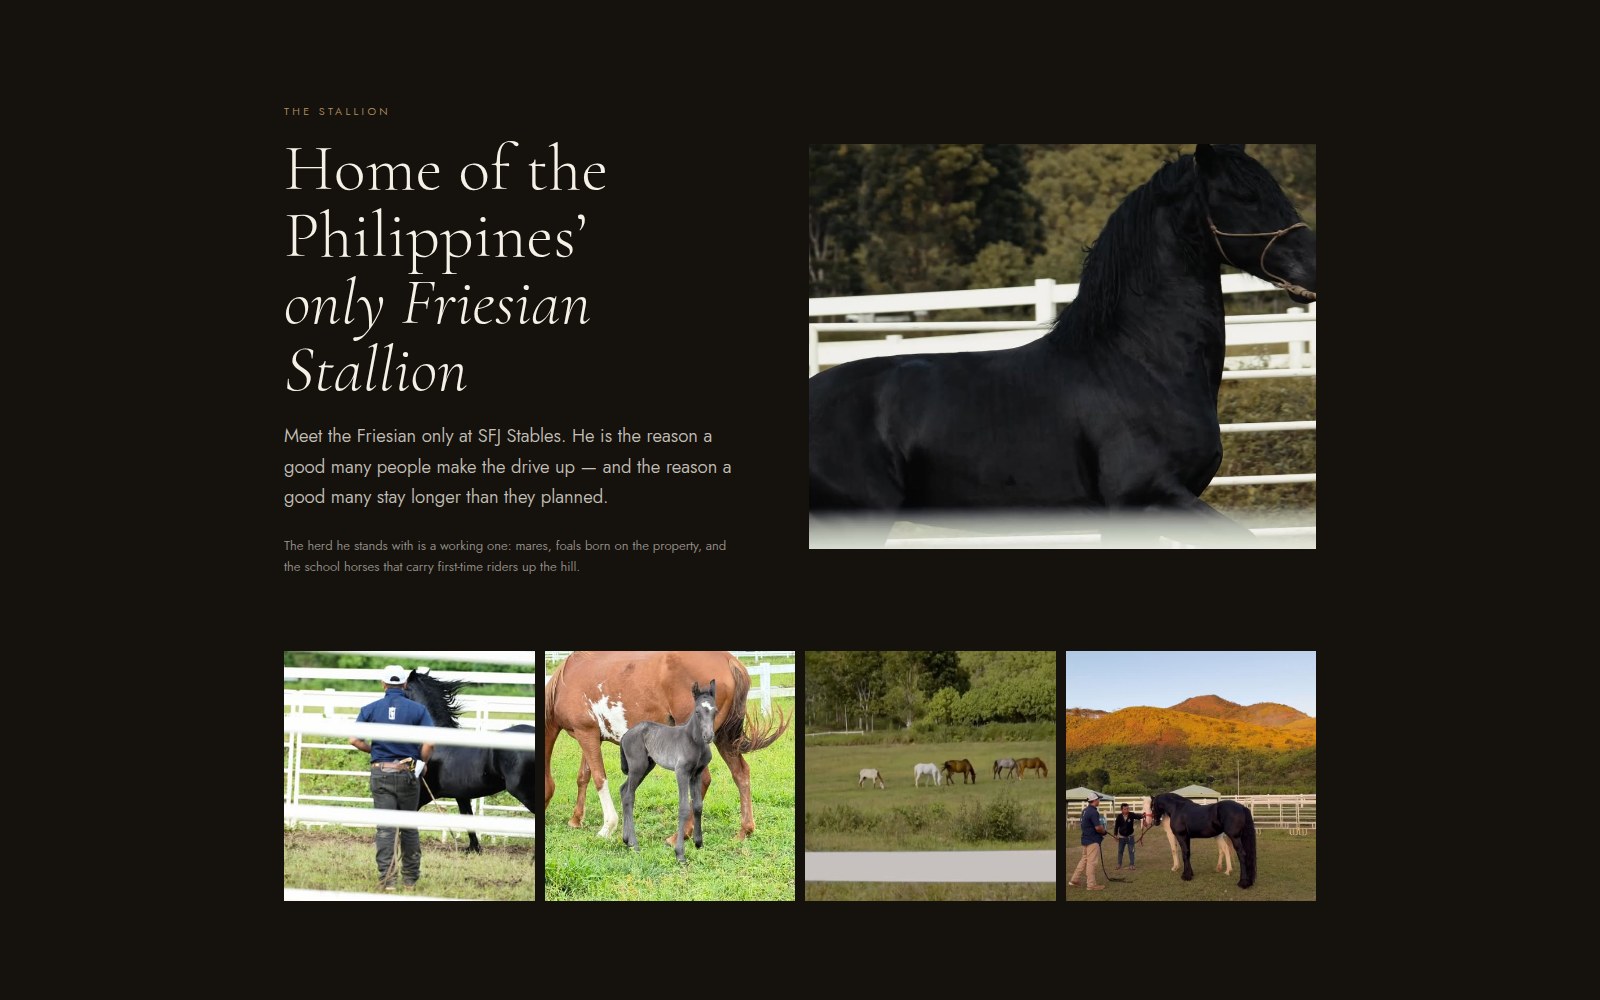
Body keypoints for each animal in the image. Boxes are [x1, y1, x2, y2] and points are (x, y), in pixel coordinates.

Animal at [544, 651, 790, 843]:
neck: (566, 681)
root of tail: (729, 660)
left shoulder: (586, 734)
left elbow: (598, 778)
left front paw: (607, 827)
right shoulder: (589, 735)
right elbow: (583, 776)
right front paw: (576, 819)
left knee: (704, 779)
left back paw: (682, 835)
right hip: (722, 738)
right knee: (741, 773)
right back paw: (744, 831)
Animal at [619, 680, 717, 861]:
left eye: (715, 711)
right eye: (697, 711)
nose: (708, 736)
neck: (693, 741)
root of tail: (625, 734)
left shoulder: (696, 774)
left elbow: (698, 805)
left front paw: (698, 843)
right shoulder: (682, 773)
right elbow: (684, 807)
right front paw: (680, 853)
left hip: (647, 766)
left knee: (623, 790)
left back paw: (626, 840)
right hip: (637, 767)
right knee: (629, 796)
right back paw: (634, 844)